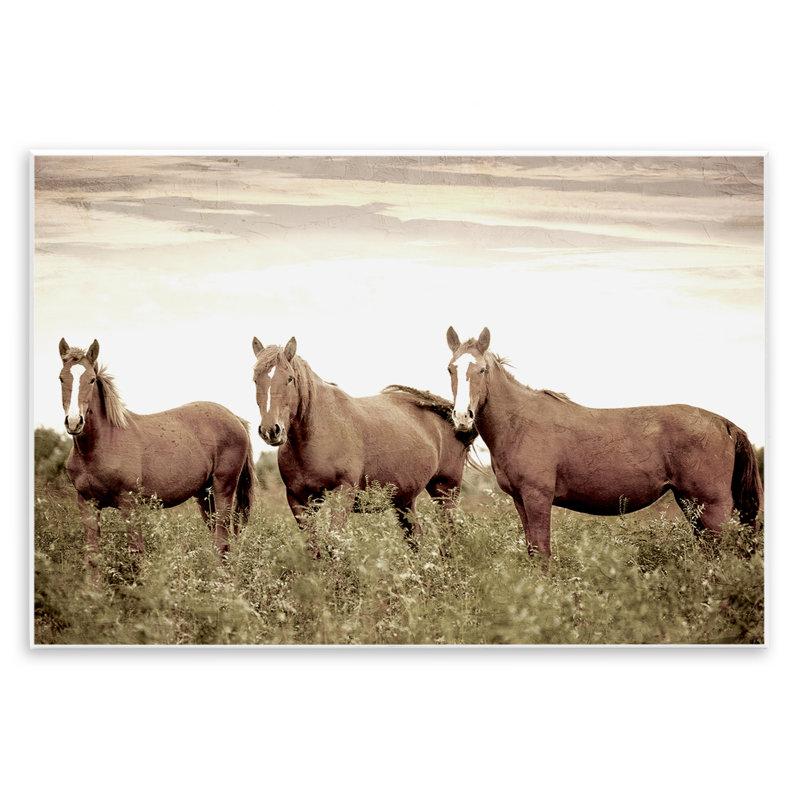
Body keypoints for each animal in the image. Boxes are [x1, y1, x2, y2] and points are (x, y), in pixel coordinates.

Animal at [58, 338, 256, 565]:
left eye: (91, 379)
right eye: (61, 378)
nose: (74, 422)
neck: (98, 447)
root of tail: (236, 418)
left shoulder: (129, 504)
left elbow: (136, 554)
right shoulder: (87, 504)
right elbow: (93, 557)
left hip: (223, 489)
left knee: (221, 541)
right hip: (205, 496)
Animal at [251, 336, 476, 549]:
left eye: (289, 379)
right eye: (255, 379)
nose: (271, 430)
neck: (316, 435)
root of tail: (453, 418)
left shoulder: (343, 493)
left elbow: (333, 543)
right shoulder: (298, 499)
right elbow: (313, 546)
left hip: (444, 493)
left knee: (448, 536)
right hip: (404, 501)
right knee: (415, 539)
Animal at [445, 326, 763, 559]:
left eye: (482, 370)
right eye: (450, 369)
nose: (462, 417)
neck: (520, 422)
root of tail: (723, 423)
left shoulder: (538, 498)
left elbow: (543, 551)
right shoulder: (520, 500)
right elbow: (533, 551)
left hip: (712, 506)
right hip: (691, 504)